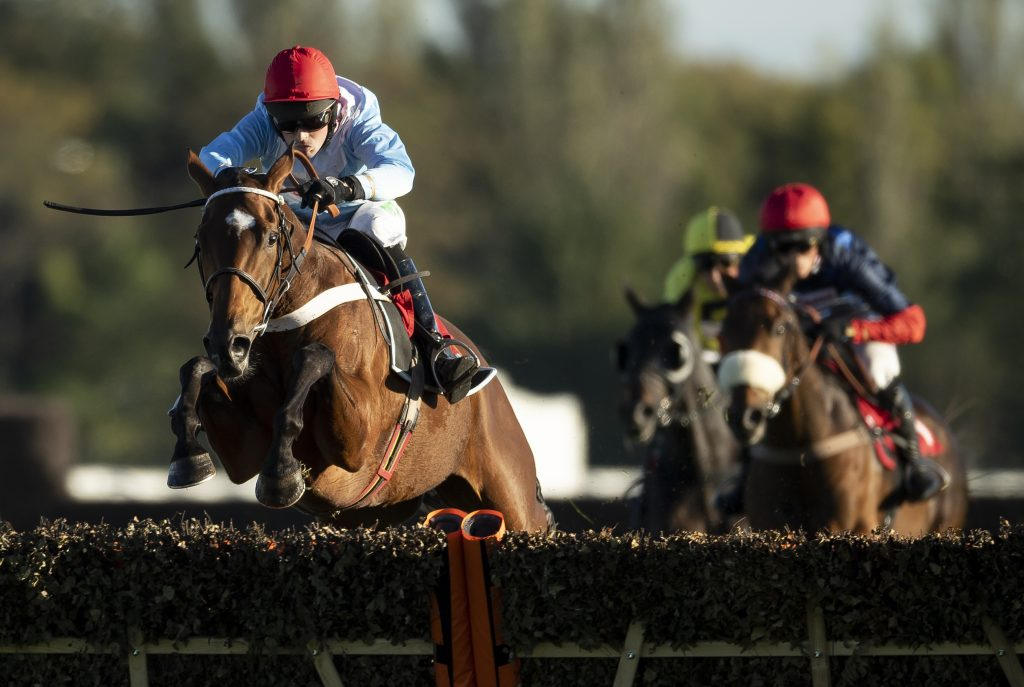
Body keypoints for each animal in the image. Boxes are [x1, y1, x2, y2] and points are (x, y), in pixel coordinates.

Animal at [167, 147, 552, 532]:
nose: (229, 344)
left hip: (511, 495)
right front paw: (187, 456)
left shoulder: (359, 439)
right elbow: (196, 367)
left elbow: (314, 357)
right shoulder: (244, 453)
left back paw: (452, 365)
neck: (292, 315)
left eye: (271, 238)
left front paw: (282, 473)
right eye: (201, 240)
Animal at [712, 272, 966, 536]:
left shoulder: (854, 526)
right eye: (723, 333)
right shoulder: (768, 523)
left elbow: (911, 318)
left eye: (779, 328)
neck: (800, 448)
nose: (745, 417)